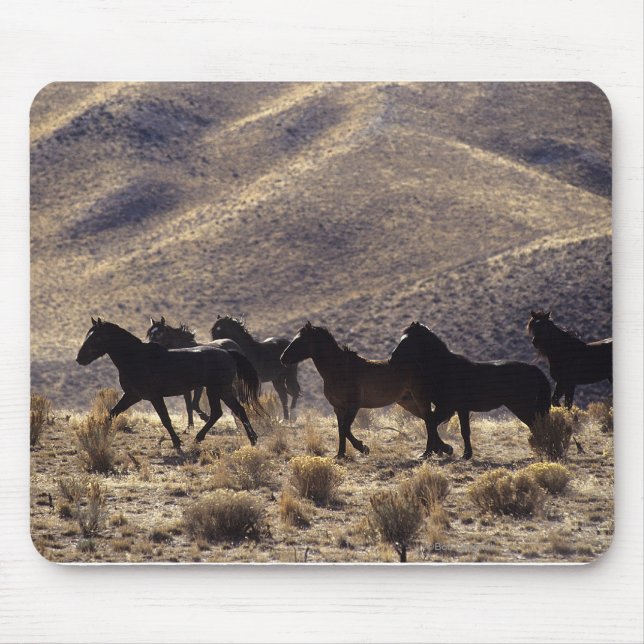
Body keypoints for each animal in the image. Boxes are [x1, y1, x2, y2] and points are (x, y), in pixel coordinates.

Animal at [76, 318, 262, 450]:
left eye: (97, 337)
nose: (79, 358)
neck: (137, 358)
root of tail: (228, 353)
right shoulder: (133, 395)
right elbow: (111, 413)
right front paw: (98, 435)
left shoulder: (154, 397)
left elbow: (165, 419)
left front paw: (177, 442)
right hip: (222, 390)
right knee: (237, 410)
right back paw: (252, 439)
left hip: (216, 390)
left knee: (219, 412)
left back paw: (199, 438)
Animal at [279, 322, 443, 459]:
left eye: (300, 340)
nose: (282, 358)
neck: (339, 370)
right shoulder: (338, 408)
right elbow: (341, 430)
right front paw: (340, 454)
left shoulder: (353, 406)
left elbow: (345, 429)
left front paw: (363, 447)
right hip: (408, 402)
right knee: (429, 419)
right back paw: (442, 448)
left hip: (420, 397)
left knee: (429, 420)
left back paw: (428, 452)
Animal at [390, 322, 552, 459]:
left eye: (408, 341)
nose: (392, 359)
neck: (446, 369)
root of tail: (532, 368)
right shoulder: (455, 409)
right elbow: (441, 426)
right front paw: (434, 452)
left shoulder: (450, 408)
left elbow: (439, 425)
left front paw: (448, 452)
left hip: (521, 407)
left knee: (535, 424)